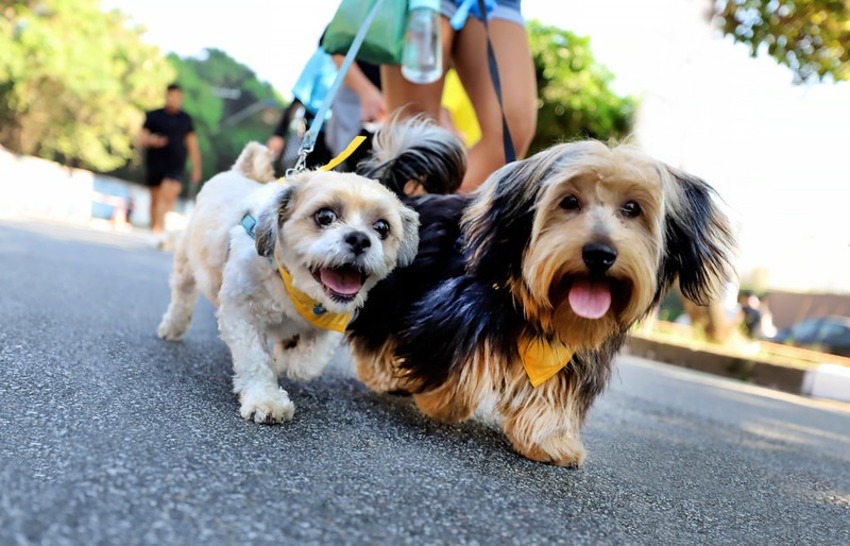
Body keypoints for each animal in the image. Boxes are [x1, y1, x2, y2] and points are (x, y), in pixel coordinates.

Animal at [157, 140, 420, 420]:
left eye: (382, 228)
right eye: (325, 216)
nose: (359, 238)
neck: (295, 288)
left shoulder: (334, 321)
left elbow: (309, 362)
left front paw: (285, 361)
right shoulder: (240, 314)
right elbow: (256, 360)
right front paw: (265, 399)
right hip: (186, 262)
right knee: (182, 294)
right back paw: (173, 326)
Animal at [348, 121, 732, 466]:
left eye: (632, 209)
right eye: (569, 202)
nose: (600, 254)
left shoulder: (568, 353)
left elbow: (551, 393)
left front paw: (548, 440)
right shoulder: (454, 310)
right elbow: (457, 361)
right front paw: (442, 401)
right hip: (392, 290)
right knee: (374, 332)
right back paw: (381, 375)